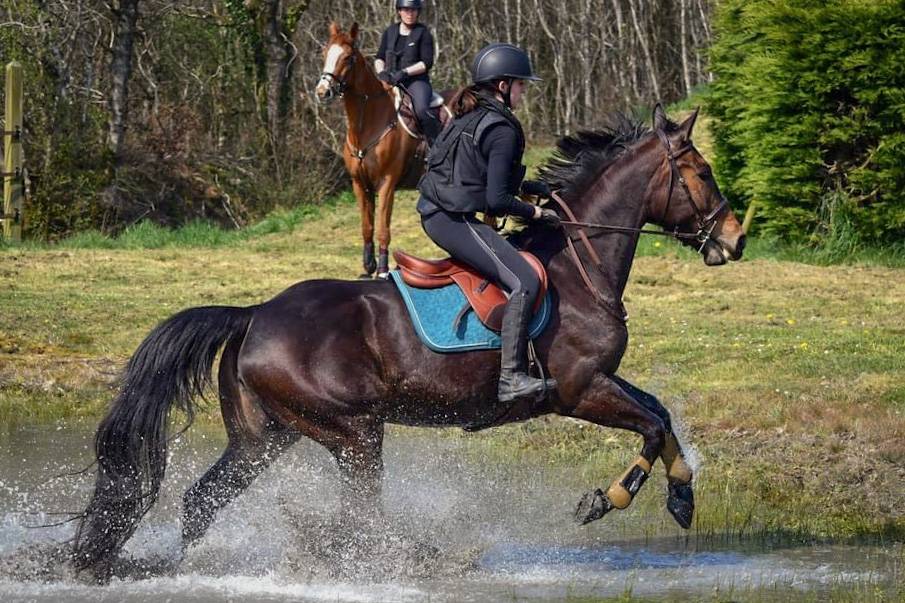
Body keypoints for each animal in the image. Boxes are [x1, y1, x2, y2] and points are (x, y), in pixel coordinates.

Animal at [71, 105, 746, 580]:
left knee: (201, 502)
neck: (581, 264)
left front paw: (682, 496)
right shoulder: (579, 390)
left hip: (266, 437)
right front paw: (603, 502)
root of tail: (255, 315)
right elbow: (650, 427)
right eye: (703, 172)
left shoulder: (599, 381)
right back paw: (421, 557)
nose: (735, 239)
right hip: (353, 433)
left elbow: (660, 414)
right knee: (359, 518)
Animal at [315, 22, 452, 279]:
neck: (367, 124)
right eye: (324, 53)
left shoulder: (386, 184)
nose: (322, 91)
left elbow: (382, 229)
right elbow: (367, 227)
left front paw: (381, 269)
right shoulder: (360, 184)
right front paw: (367, 266)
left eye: (348, 58)